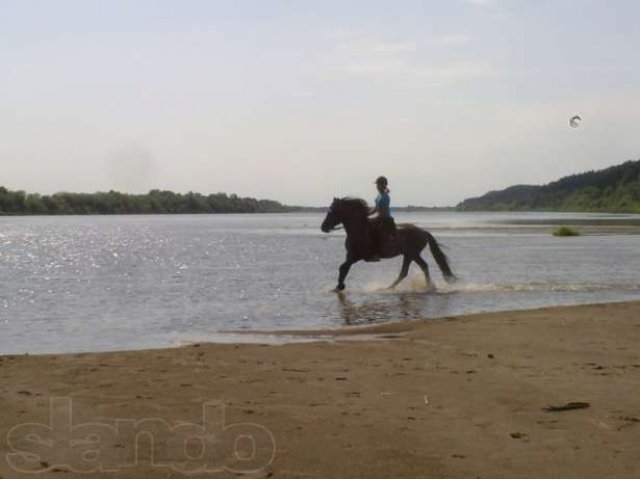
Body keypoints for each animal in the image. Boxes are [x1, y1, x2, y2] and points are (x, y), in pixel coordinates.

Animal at [320, 197, 456, 290]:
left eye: (331, 212)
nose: (323, 227)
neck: (359, 230)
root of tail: (424, 232)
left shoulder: (357, 256)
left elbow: (343, 267)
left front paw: (339, 287)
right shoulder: (350, 255)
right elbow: (344, 268)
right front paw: (338, 286)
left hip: (412, 254)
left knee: (418, 268)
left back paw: (426, 287)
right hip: (409, 255)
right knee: (410, 270)